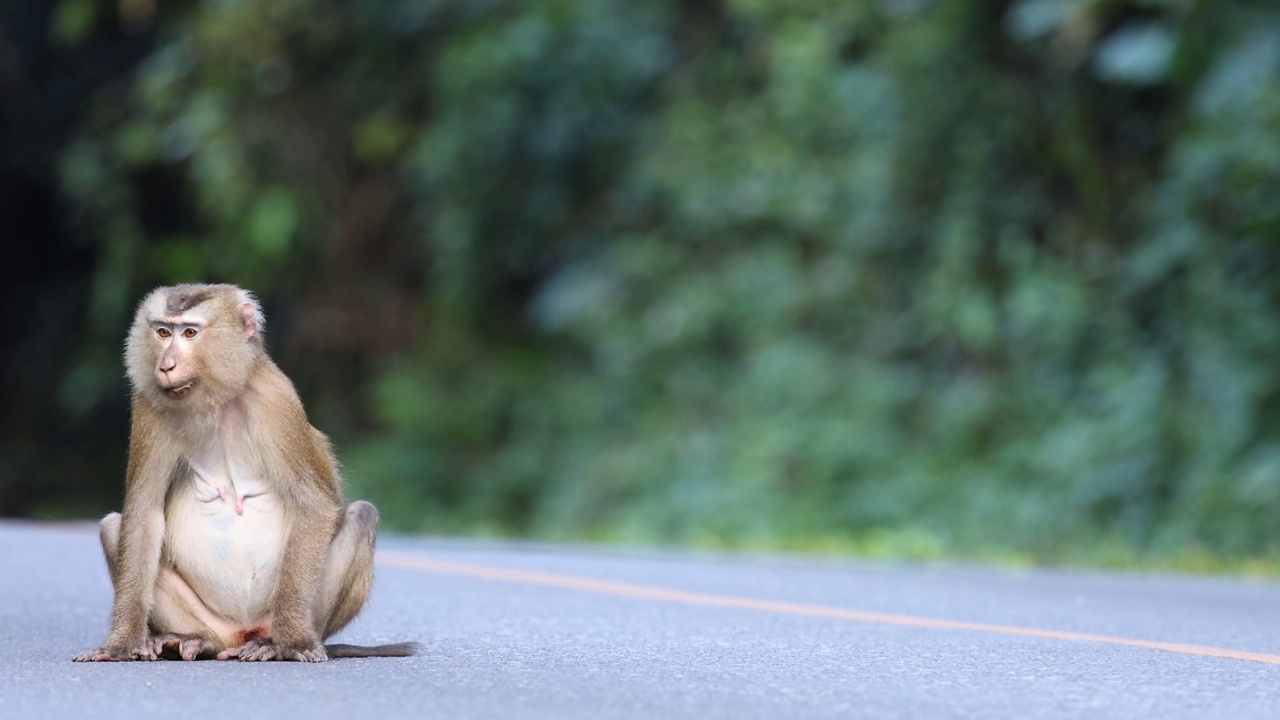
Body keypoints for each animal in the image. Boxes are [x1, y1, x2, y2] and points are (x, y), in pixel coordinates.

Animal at [73, 281, 414, 661]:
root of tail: (240, 634)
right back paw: (192, 639)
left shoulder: (277, 401)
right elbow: (143, 515)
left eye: (190, 332)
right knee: (112, 527)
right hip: (213, 623)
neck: (216, 403)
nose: (166, 365)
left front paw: (295, 642)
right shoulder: (148, 405)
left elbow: (313, 504)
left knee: (361, 516)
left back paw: (273, 643)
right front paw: (121, 645)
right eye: (163, 332)